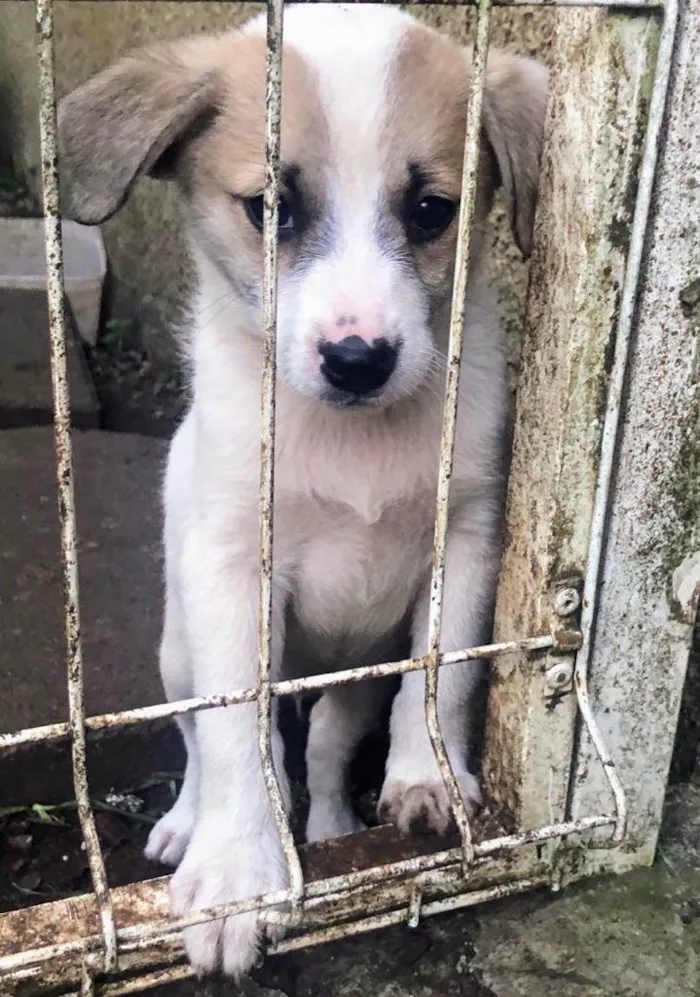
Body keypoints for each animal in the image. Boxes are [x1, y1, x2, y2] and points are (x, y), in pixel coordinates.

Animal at [58, 1, 548, 980]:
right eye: (271, 209)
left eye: (432, 210)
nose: (358, 360)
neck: (350, 437)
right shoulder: (233, 570)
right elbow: (234, 738)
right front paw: (236, 874)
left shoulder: (467, 535)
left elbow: (444, 674)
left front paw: (428, 776)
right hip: (179, 652)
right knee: (204, 742)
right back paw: (189, 826)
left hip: (351, 673)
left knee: (321, 747)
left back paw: (327, 828)